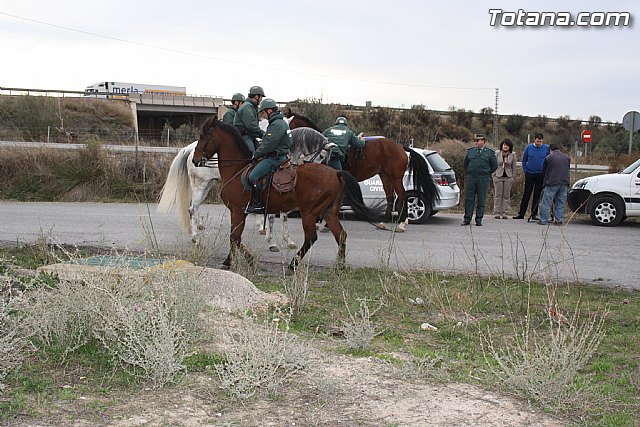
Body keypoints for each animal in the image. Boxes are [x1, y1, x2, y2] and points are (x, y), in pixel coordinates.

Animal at [191, 117, 384, 271]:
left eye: (203, 137)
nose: (195, 160)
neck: (237, 169)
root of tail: (336, 173)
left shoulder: (238, 211)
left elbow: (234, 237)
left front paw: (242, 260)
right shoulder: (240, 212)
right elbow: (235, 237)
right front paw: (234, 260)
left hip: (309, 212)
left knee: (311, 237)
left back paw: (294, 264)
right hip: (329, 212)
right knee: (341, 235)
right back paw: (340, 265)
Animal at [284, 113, 439, 232]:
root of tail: (400, 146)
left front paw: (323, 223)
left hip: (395, 177)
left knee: (401, 196)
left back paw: (401, 223)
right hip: (385, 176)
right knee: (390, 197)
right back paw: (383, 222)